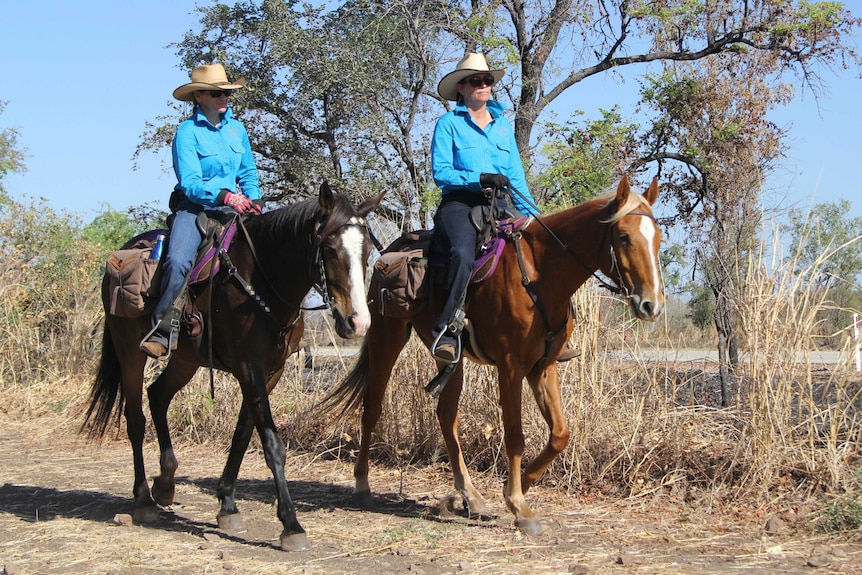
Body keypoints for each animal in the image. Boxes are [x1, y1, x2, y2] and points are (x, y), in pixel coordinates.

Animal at [83, 186, 384, 552]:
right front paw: (291, 525)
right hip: (130, 353)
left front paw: (227, 505)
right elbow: (272, 444)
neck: (262, 281)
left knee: (157, 396)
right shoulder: (248, 367)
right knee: (135, 419)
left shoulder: (269, 372)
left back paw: (165, 483)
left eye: (366, 250)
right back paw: (143, 500)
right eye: (329, 249)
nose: (358, 323)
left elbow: (242, 435)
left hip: (185, 360)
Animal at [328, 177, 664, 536]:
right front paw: (518, 505)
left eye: (657, 237)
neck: (541, 274)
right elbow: (515, 436)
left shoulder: (543, 368)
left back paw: (471, 496)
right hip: (386, 337)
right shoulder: (511, 367)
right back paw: (362, 483)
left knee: (446, 416)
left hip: (450, 358)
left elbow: (560, 434)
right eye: (624, 236)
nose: (651, 305)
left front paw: (520, 486)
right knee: (371, 408)